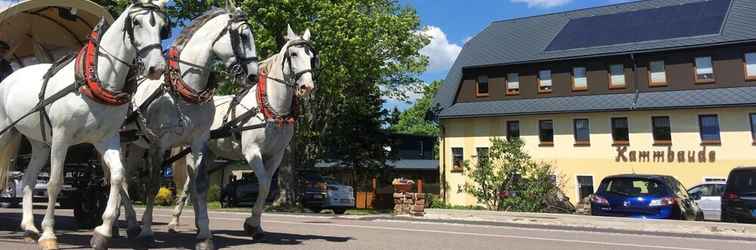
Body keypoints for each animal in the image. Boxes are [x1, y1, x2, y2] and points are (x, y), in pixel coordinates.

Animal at [0, 0, 168, 249]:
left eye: (164, 27)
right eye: (136, 22)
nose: (157, 68)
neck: (95, 79)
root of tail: (9, 78)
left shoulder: (106, 138)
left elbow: (118, 176)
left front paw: (103, 231)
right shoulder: (62, 137)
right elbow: (54, 183)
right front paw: (49, 234)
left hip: (40, 143)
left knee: (28, 179)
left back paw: (29, 227)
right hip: (6, 132)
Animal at [118, 4, 260, 250]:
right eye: (242, 36)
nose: (253, 75)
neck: (185, 90)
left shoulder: (199, 141)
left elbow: (200, 186)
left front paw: (204, 235)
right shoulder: (158, 143)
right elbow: (153, 186)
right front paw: (147, 231)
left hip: (135, 146)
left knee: (124, 176)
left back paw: (130, 221)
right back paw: (131, 223)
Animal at [164, 25, 318, 240]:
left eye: (311, 56)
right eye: (294, 54)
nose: (307, 87)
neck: (271, 108)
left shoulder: (276, 155)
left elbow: (267, 186)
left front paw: (256, 225)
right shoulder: (252, 151)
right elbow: (264, 183)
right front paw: (251, 224)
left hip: (209, 154)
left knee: (195, 185)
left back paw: (197, 223)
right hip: (191, 152)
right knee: (190, 184)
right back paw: (175, 222)